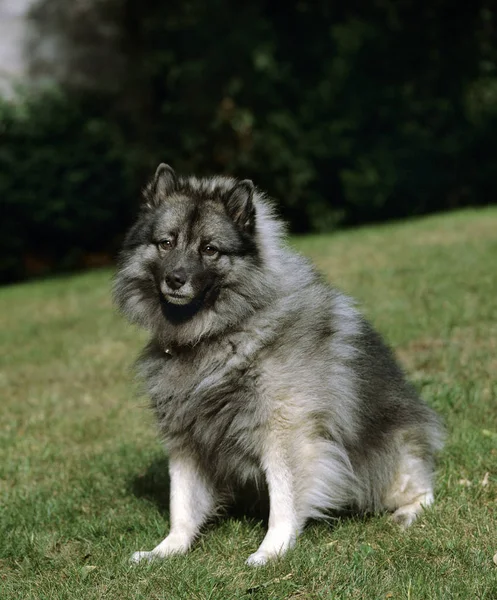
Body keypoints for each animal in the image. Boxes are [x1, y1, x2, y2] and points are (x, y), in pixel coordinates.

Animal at [114, 165, 444, 568]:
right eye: (165, 243)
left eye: (209, 249)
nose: (175, 279)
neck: (222, 332)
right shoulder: (185, 438)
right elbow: (182, 506)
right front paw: (167, 550)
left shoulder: (285, 434)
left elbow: (284, 499)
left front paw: (271, 551)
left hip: (393, 458)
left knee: (423, 490)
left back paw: (407, 513)